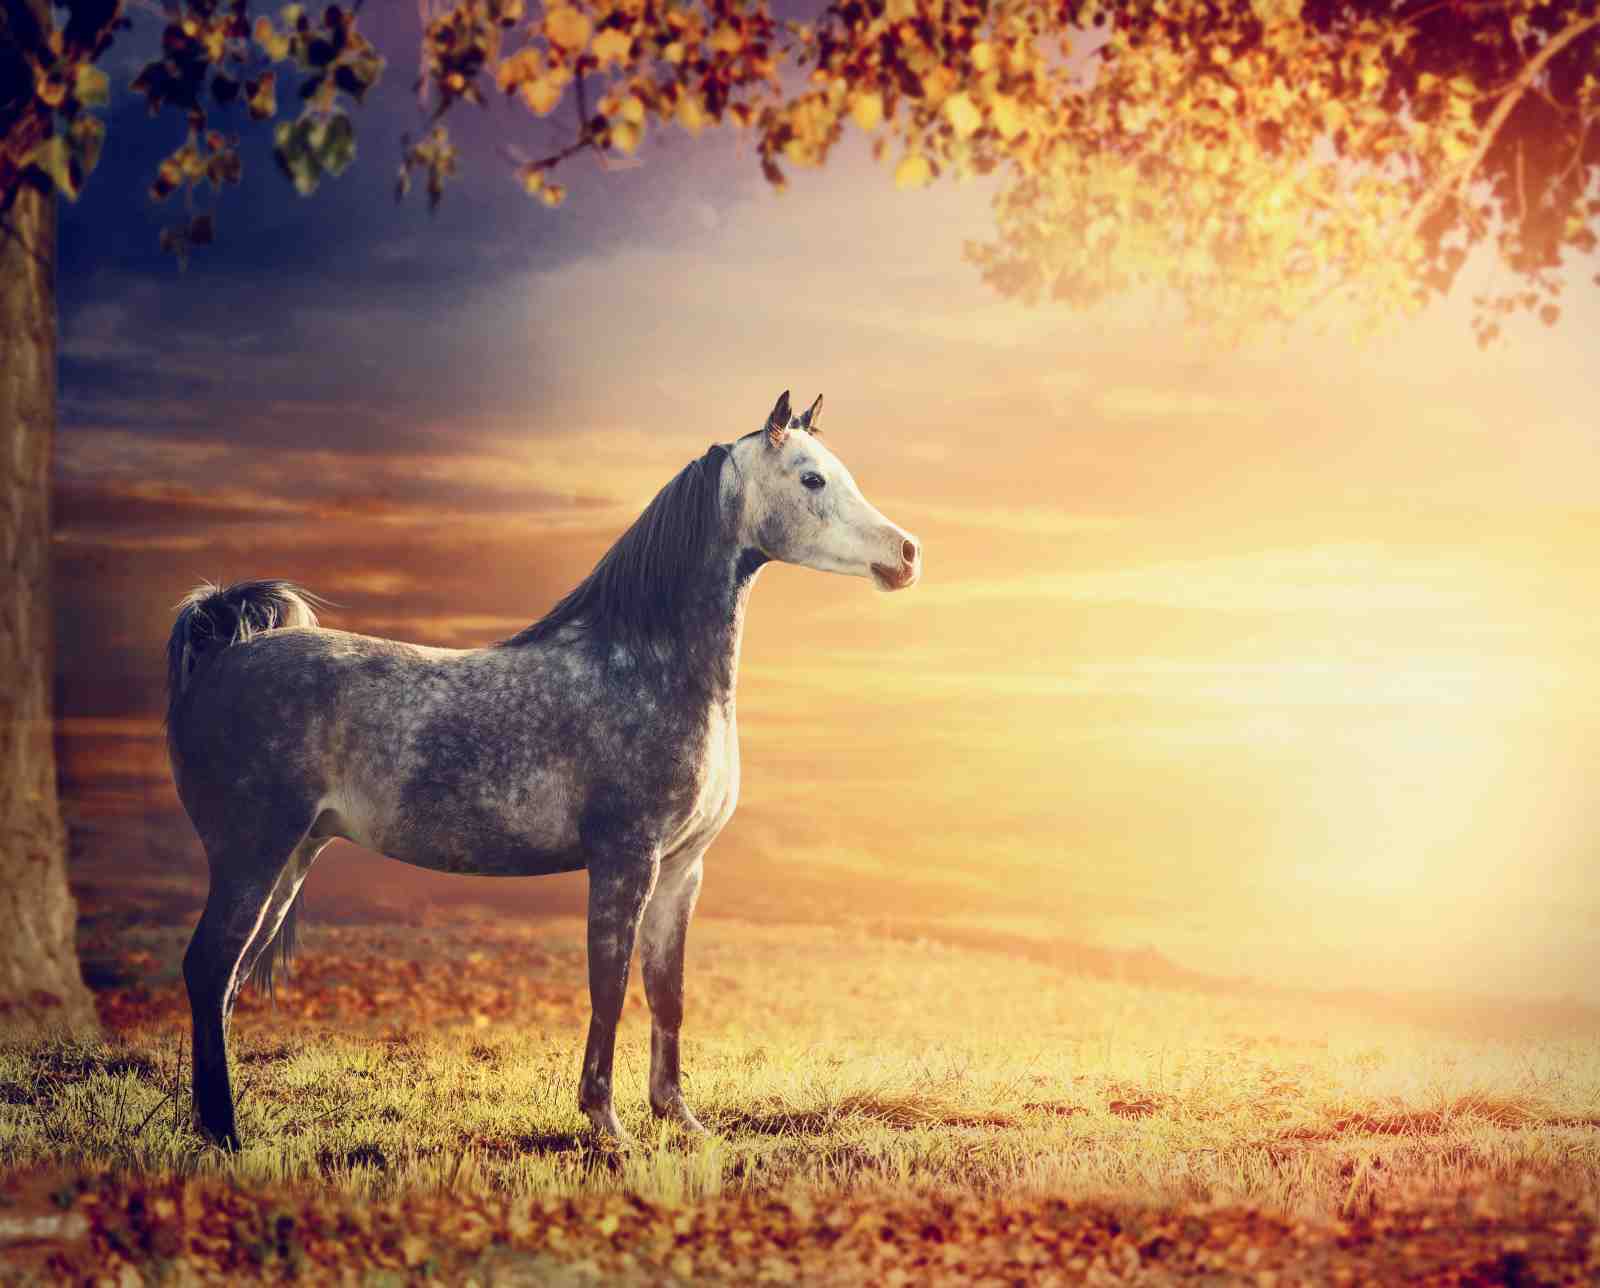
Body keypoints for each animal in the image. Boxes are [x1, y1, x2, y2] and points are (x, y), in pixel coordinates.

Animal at [164, 390, 922, 1148]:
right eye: (811, 479)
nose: (907, 554)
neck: (645, 665)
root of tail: (225, 651)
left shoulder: (682, 870)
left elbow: (667, 993)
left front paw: (679, 1119)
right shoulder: (625, 860)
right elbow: (608, 987)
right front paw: (607, 1125)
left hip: (293, 856)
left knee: (225, 983)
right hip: (253, 855)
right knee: (207, 969)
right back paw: (226, 1134)